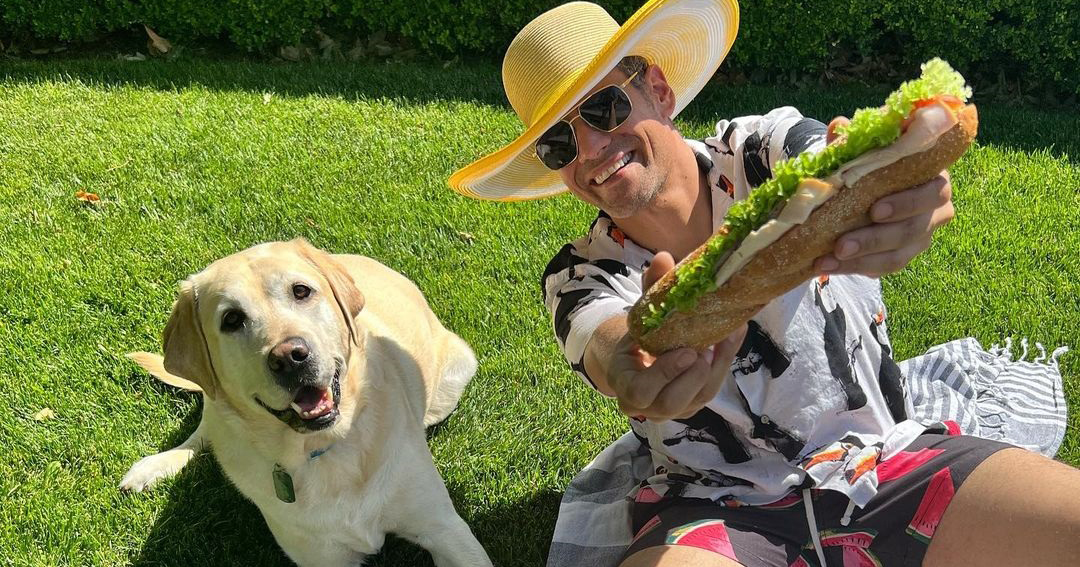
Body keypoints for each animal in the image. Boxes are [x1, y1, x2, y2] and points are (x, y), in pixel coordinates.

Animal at [121, 239, 492, 567]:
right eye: (231, 320)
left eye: (301, 291)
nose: (290, 357)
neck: (324, 447)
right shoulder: (323, 558)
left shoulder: (445, 530)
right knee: (204, 432)